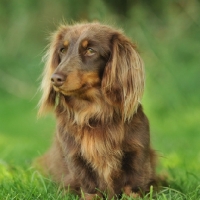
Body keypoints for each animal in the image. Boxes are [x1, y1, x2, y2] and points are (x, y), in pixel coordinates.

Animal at [37, 22, 156, 198]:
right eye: (62, 50)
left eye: (90, 50)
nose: (55, 78)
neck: (95, 112)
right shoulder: (76, 159)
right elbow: (90, 189)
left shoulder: (137, 154)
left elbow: (133, 187)